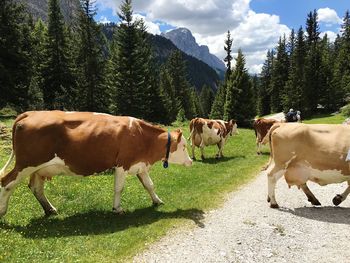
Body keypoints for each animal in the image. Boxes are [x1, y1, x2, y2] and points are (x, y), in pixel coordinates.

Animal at [0, 110, 191, 218]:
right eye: (184, 146)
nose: (191, 161)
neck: (142, 136)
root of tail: (30, 113)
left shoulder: (139, 164)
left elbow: (149, 185)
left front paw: (157, 201)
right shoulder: (122, 164)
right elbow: (119, 188)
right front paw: (117, 208)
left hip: (39, 168)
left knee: (36, 188)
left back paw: (50, 209)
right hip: (26, 163)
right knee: (6, 183)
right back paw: (2, 211)